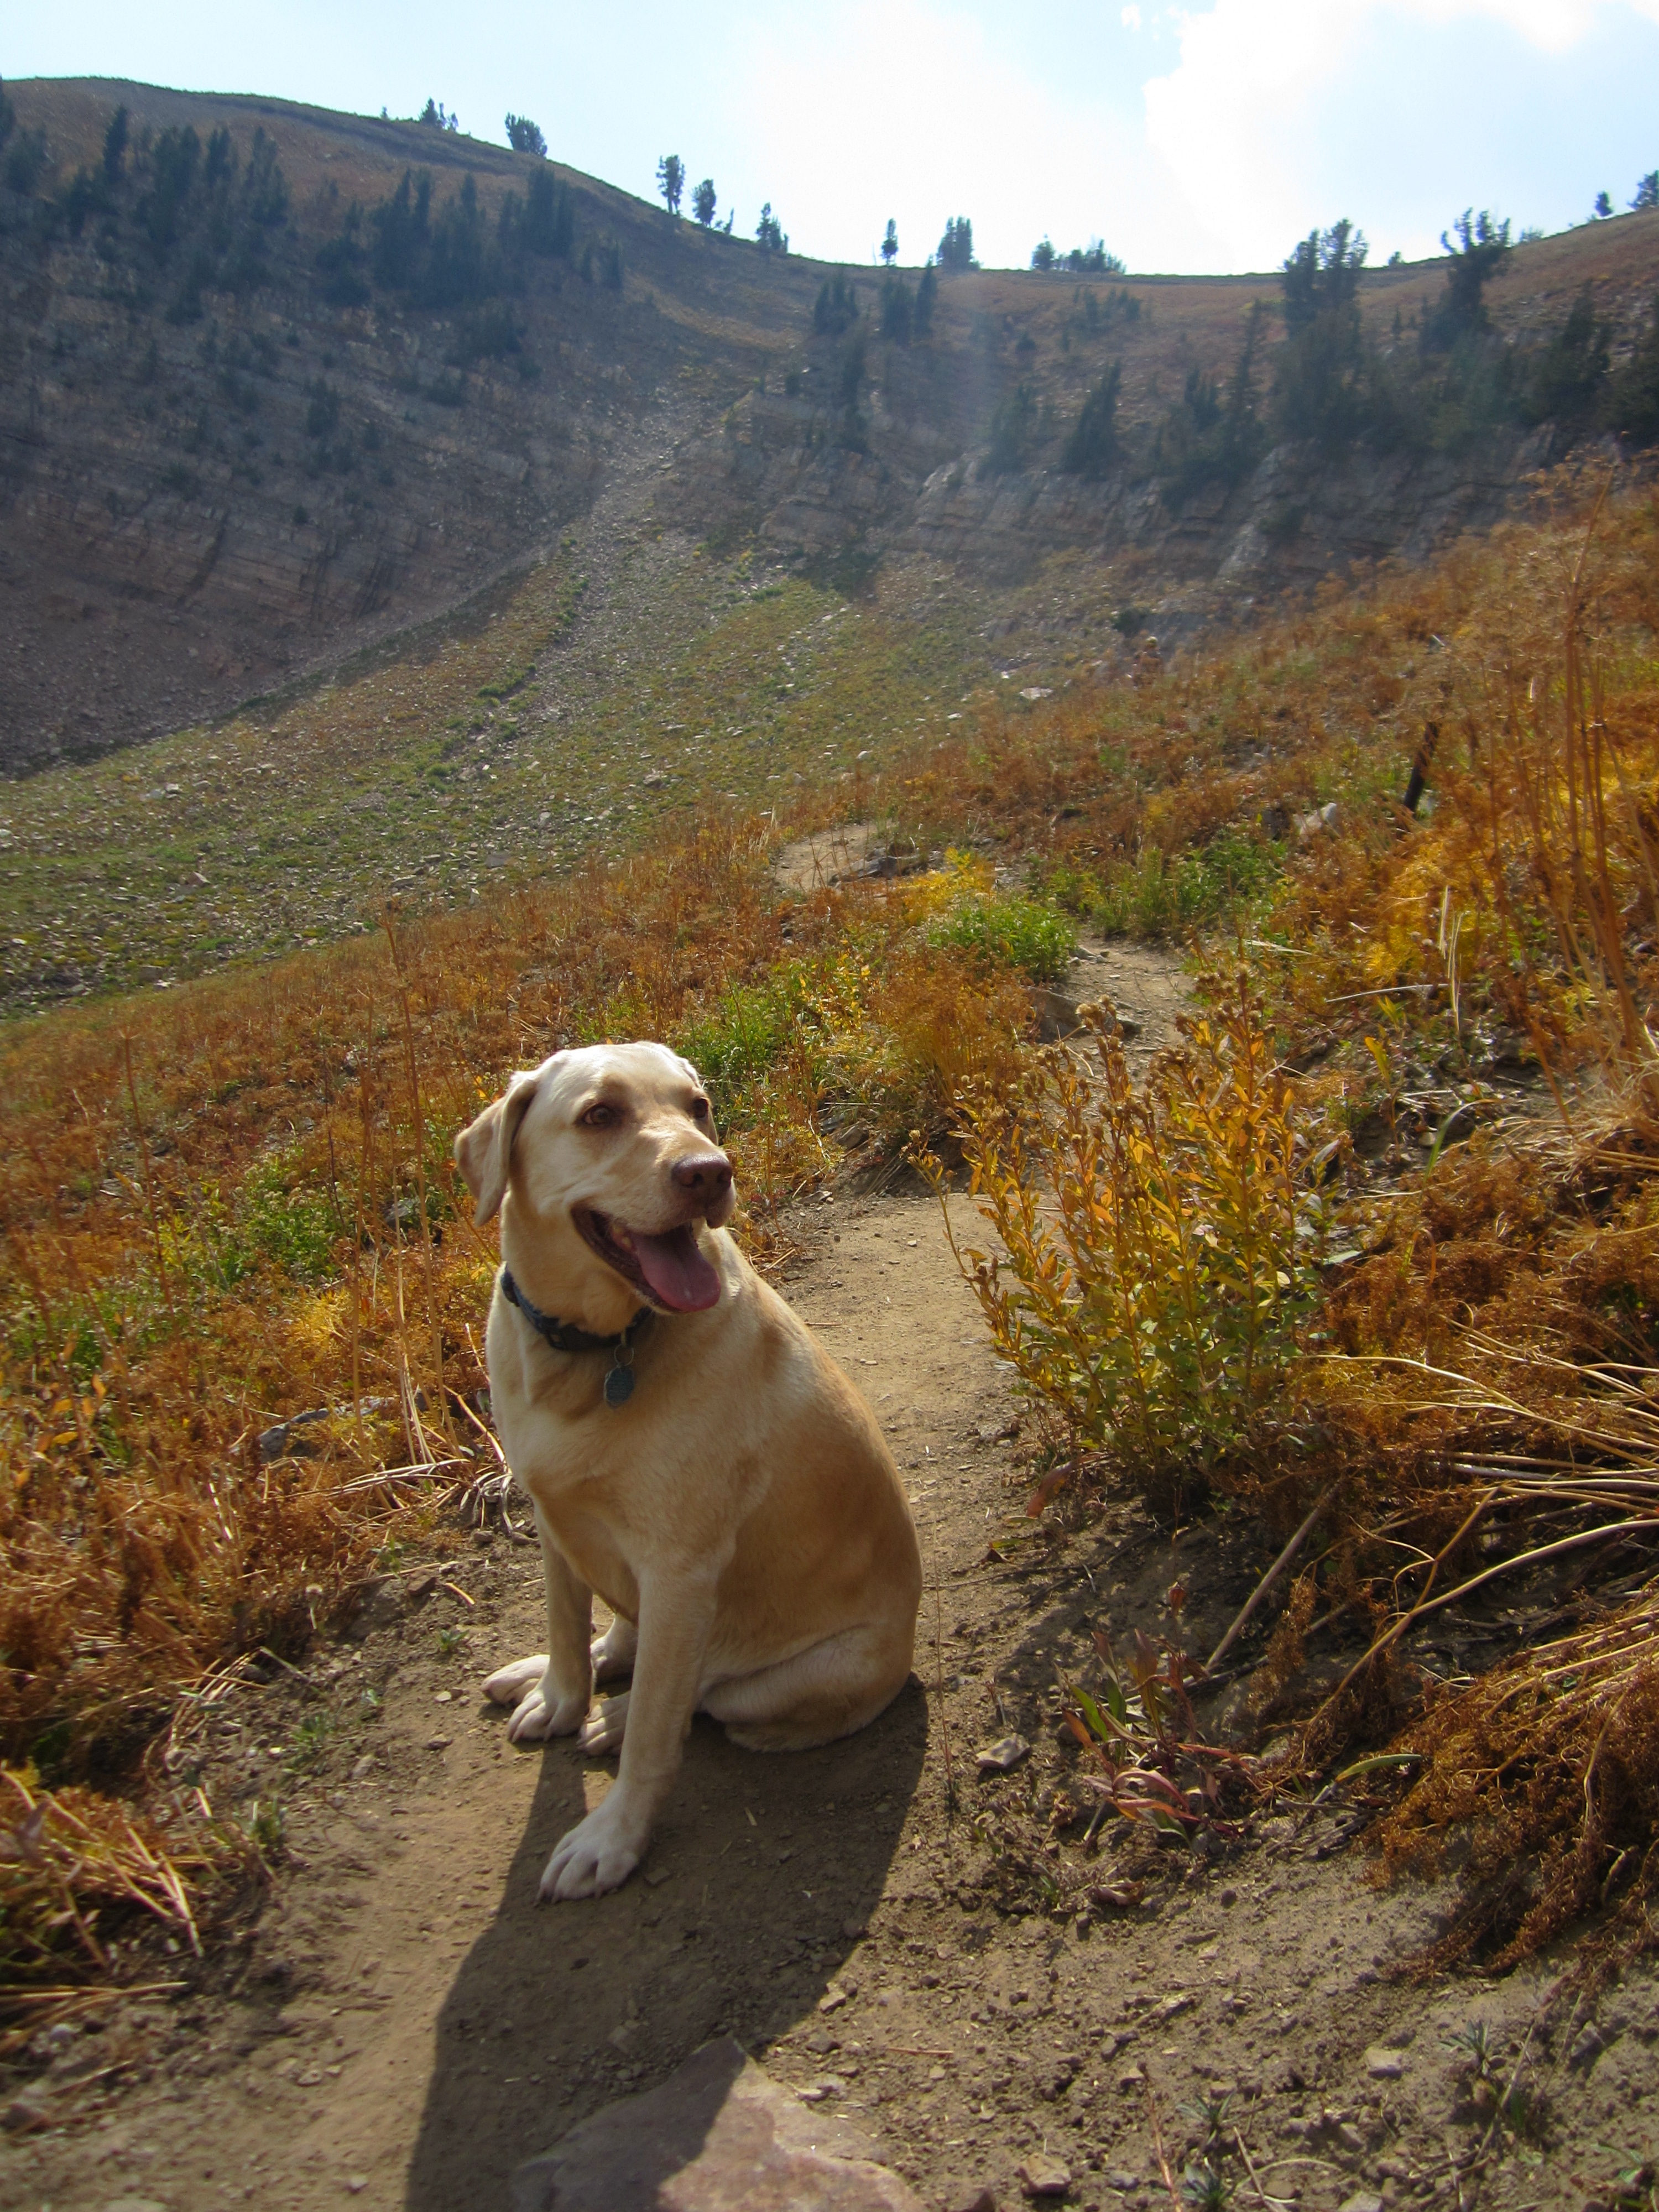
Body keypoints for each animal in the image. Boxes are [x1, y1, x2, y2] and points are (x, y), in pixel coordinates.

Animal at [456, 1040, 925, 1902]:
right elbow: (566, 1628)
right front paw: (560, 1696)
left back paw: (618, 1717)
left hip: (781, 1677)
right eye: (600, 1114)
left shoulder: (681, 1570)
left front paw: (612, 1838)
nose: (711, 1173)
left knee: (698, 1695)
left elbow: (655, 1733)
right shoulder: (551, 1517)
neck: (593, 1351)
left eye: (697, 1106)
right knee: (623, 1640)